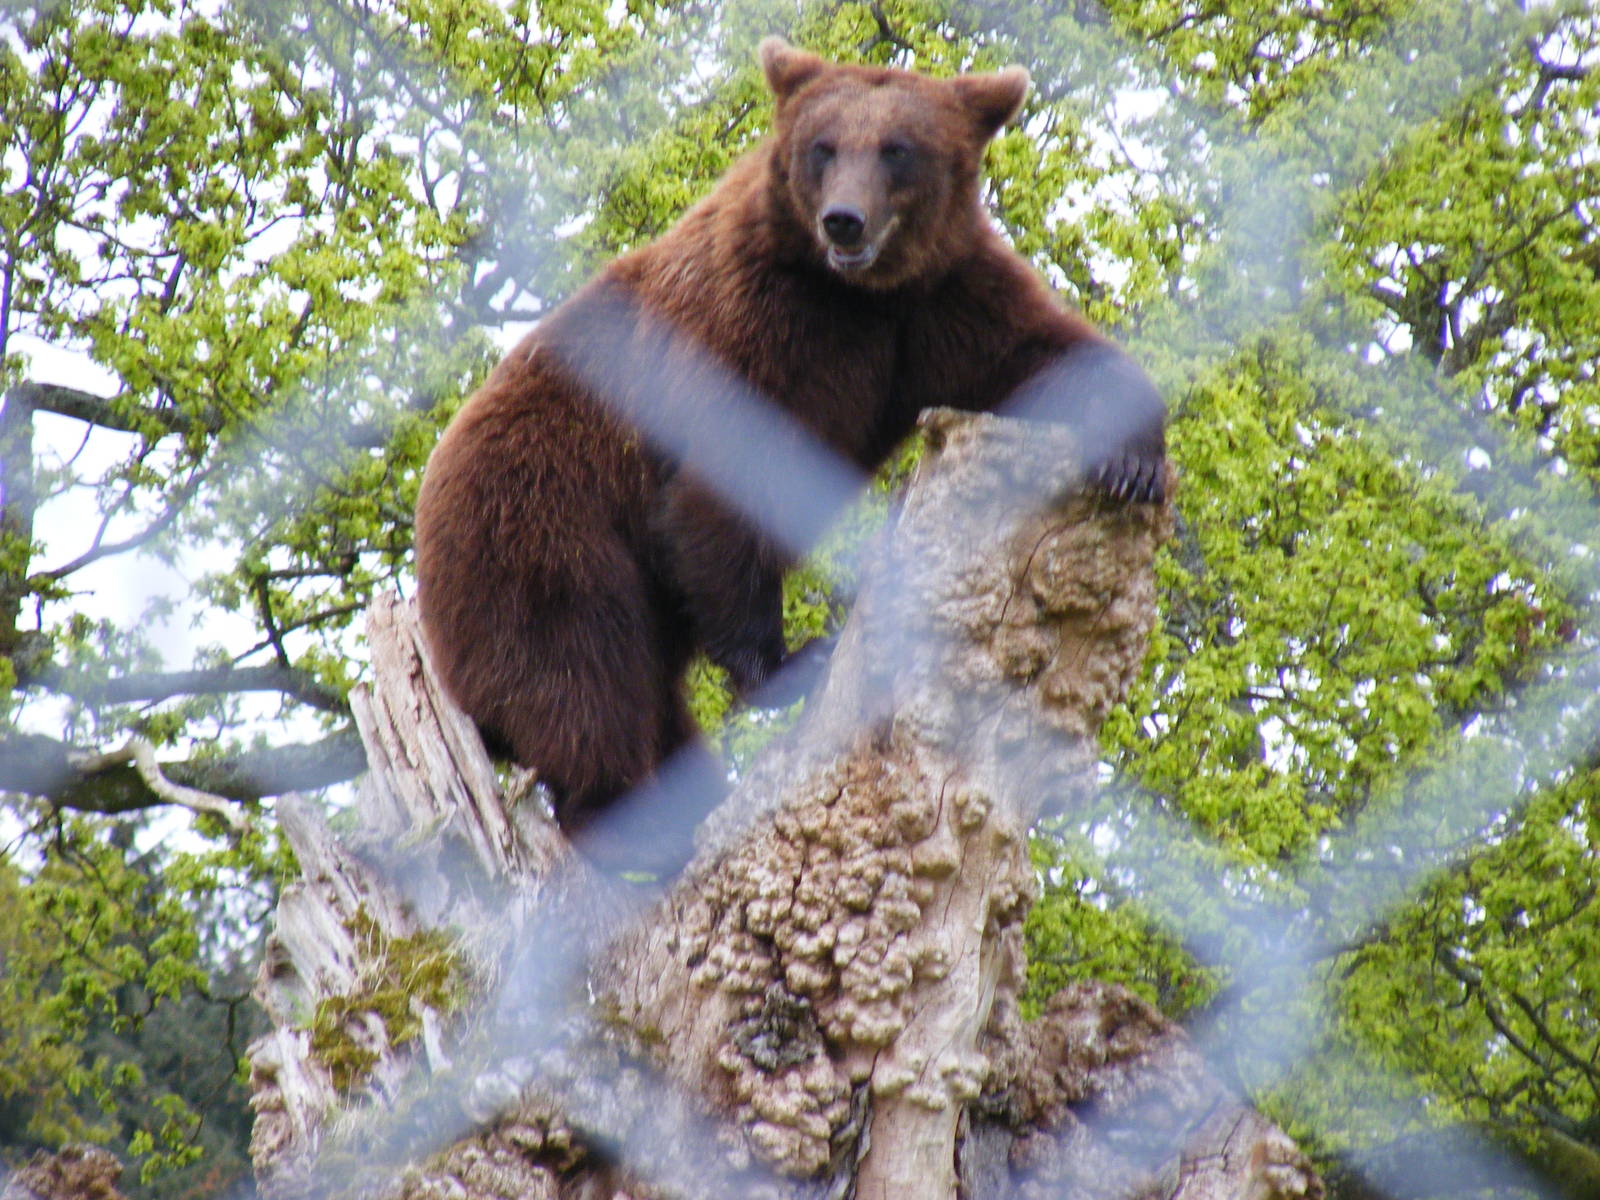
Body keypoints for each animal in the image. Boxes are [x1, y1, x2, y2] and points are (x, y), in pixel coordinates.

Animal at [413, 38, 1166, 862]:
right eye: (823, 147)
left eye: (897, 149)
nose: (844, 221)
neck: (854, 296)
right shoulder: (753, 328)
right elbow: (724, 492)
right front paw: (788, 661)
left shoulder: (935, 306)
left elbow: (1036, 353)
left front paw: (1133, 458)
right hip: (539, 534)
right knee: (585, 683)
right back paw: (632, 824)